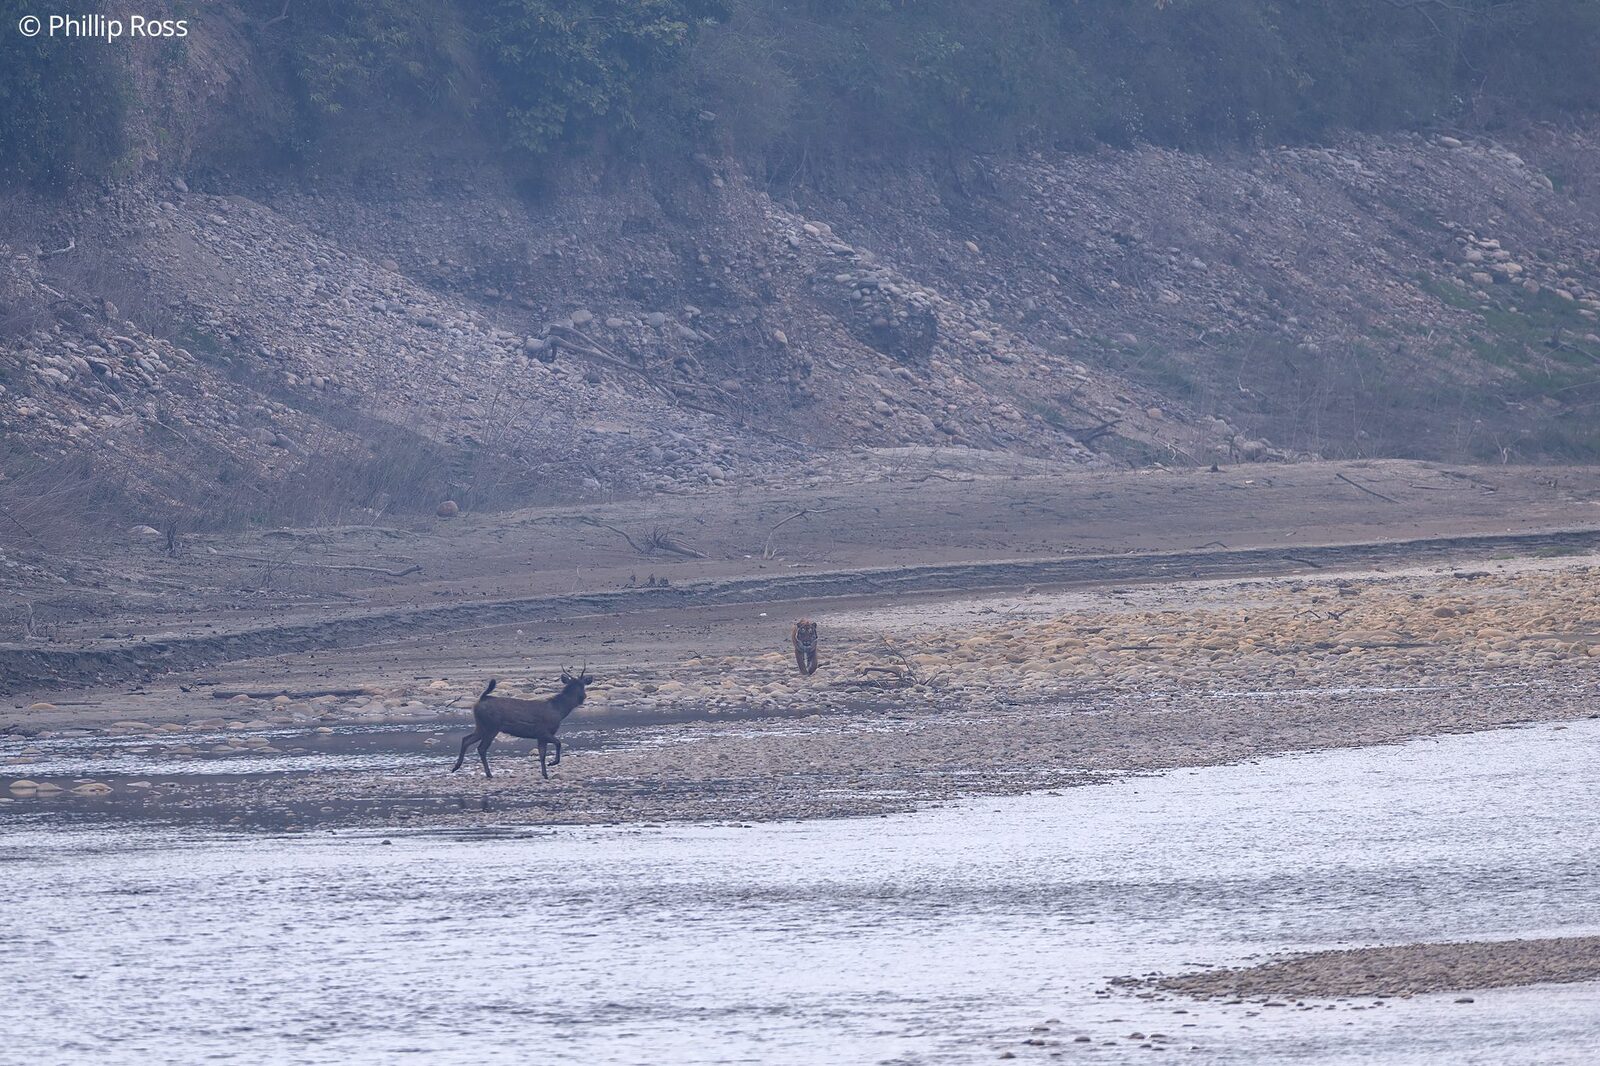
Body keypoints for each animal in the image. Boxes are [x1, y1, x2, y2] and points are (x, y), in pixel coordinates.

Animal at [450, 665, 594, 779]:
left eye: (582, 685)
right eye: (572, 686)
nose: (582, 697)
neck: (559, 711)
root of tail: (480, 699)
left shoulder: (540, 736)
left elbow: (542, 755)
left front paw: (545, 774)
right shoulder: (543, 731)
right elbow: (558, 744)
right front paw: (552, 763)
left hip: (481, 726)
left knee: (466, 739)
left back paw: (456, 767)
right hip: (491, 727)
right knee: (481, 748)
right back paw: (488, 774)